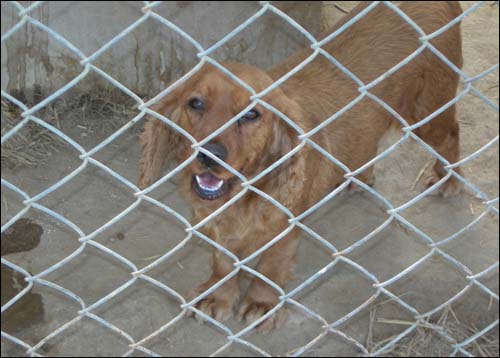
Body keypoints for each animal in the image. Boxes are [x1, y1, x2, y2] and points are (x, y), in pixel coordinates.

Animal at [138, 1, 464, 330]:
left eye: (251, 115)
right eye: (195, 103)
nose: (209, 154)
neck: (244, 195)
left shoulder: (286, 227)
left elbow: (271, 266)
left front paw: (262, 303)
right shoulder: (214, 224)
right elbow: (223, 263)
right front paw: (218, 296)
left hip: (429, 110)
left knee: (451, 135)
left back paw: (449, 180)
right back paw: (357, 177)